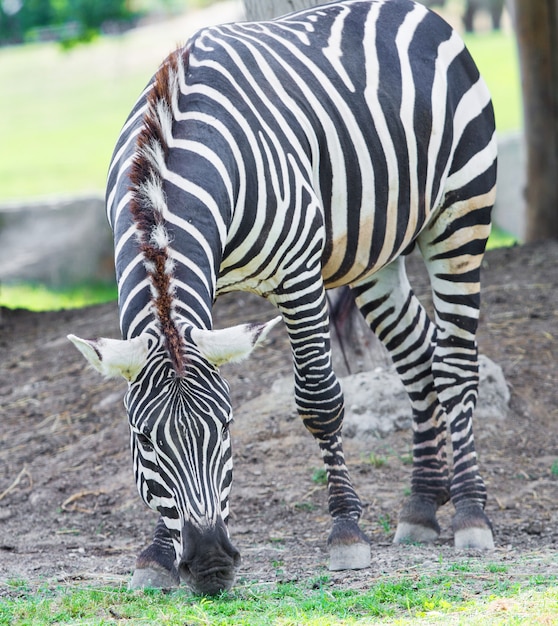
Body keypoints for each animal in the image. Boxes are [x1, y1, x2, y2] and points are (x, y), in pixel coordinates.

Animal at [69, 0, 498, 596]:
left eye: (226, 429)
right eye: (145, 440)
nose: (210, 565)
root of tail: (410, 8)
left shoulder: (298, 275)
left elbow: (320, 401)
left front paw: (345, 531)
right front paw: (155, 555)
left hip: (462, 213)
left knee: (455, 360)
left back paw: (471, 513)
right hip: (373, 251)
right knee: (417, 354)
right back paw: (420, 504)